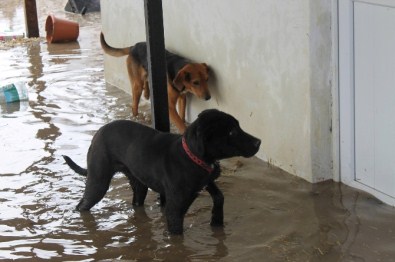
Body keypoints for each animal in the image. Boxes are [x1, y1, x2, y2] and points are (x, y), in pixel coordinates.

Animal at [63, 108, 262, 233]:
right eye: (232, 132)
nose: (259, 142)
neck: (191, 156)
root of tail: (97, 133)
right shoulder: (174, 209)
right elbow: (177, 233)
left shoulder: (205, 180)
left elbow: (219, 196)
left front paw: (216, 220)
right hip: (98, 181)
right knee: (82, 205)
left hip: (139, 185)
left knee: (136, 203)